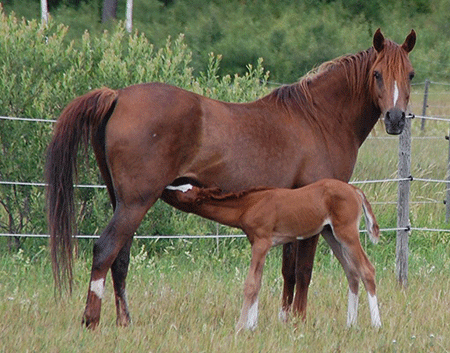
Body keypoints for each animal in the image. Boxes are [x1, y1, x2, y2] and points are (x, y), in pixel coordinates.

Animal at [45, 28, 414, 328]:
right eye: (377, 74)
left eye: (410, 74)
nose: (395, 119)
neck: (318, 118)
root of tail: (118, 95)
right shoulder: (313, 215)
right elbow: (304, 272)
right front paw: (298, 321)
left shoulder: (292, 212)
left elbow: (288, 270)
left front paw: (283, 320)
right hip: (136, 202)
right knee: (105, 249)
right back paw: (91, 319)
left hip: (121, 201)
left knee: (119, 258)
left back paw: (124, 321)